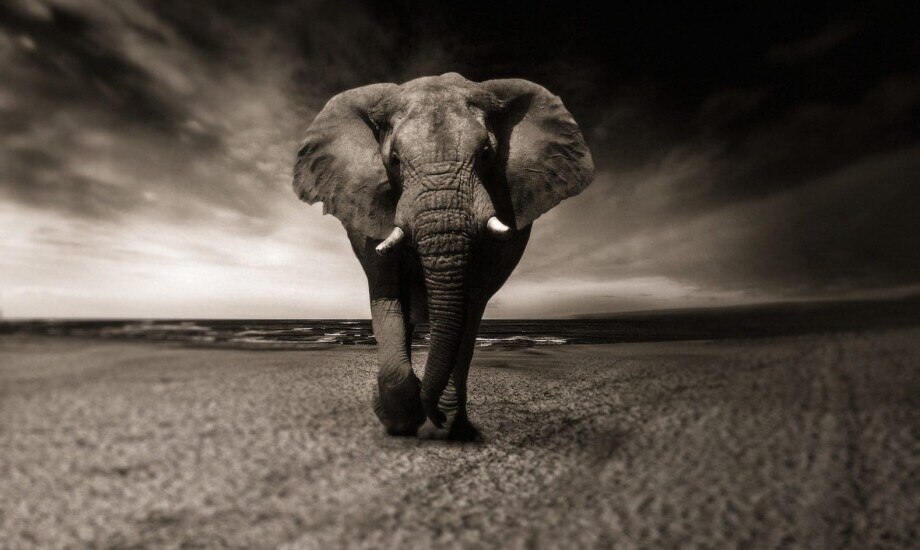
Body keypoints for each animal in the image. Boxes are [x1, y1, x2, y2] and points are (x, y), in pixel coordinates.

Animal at [292, 73, 594, 439]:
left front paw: (443, 424)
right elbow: (387, 294)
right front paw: (400, 420)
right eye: (394, 160)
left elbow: (470, 304)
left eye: (486, 154)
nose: (432, 414)